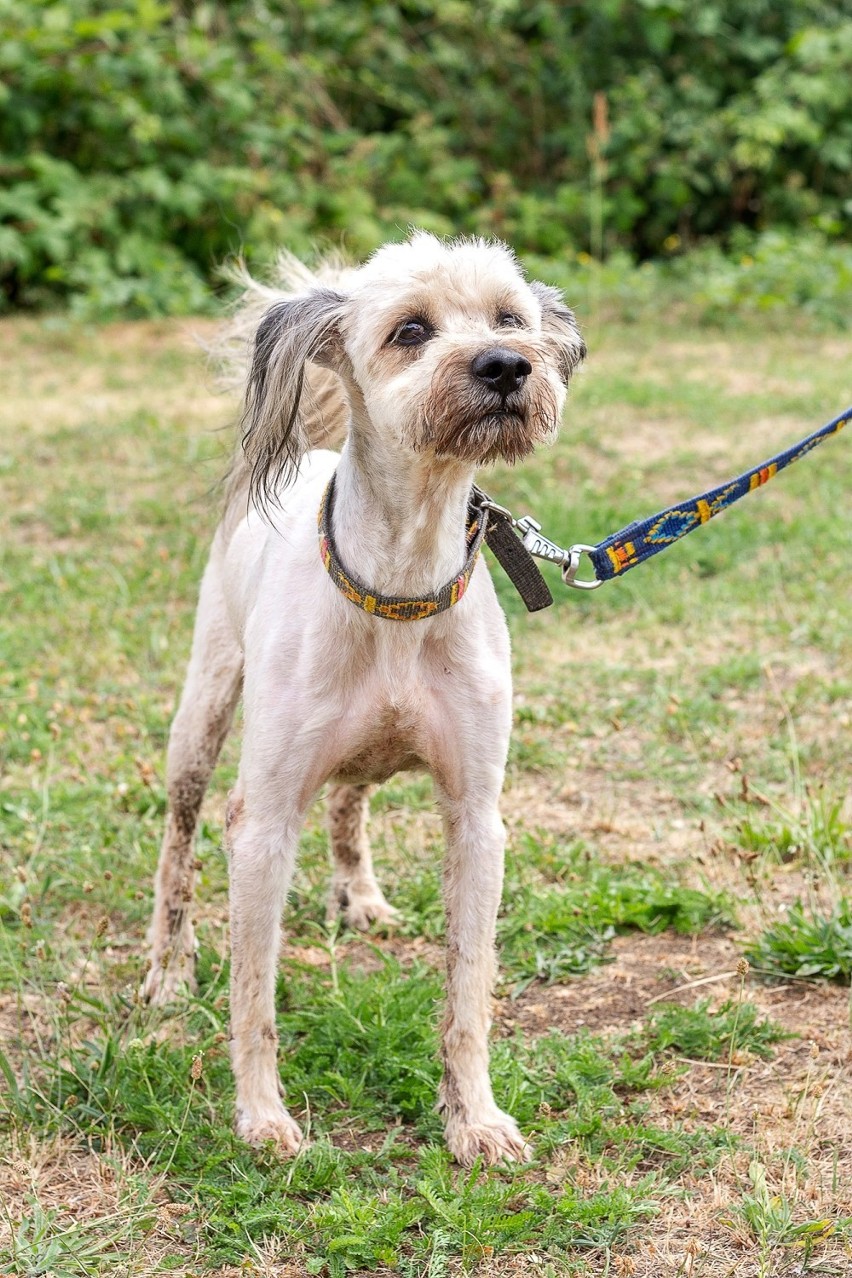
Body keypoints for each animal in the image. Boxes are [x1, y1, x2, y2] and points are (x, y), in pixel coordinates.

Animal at [144, 232, 587, 1170]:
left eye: (510, 317)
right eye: (410, 330)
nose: (506, 365)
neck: (401, 586)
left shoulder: (477, 819)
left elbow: (468, 993)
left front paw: (474, 1119)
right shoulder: (262, 824)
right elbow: (254, 996)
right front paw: (261, 1117)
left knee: (350, 800)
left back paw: (362, 896)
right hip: (201, 715)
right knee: (176, 845)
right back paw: (167, 968)